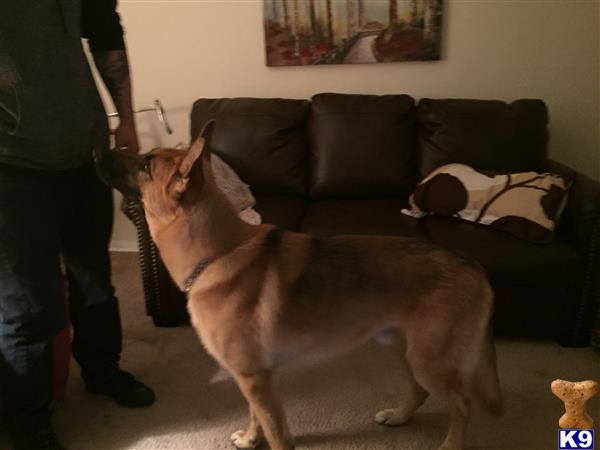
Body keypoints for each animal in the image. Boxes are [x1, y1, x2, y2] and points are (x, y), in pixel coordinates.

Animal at [95, 119, 502, 450]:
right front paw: (250, 438)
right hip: (403, 348)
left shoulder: (254, 379)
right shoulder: (251, 379)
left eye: (145, 164)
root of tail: (469, 262)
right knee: (419, 390)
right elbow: (255, 415)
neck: (218, 253)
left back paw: (449, 444)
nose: (98, 147)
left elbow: (275, 431)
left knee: (462, 404)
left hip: (428, 358)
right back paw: (399, 415)